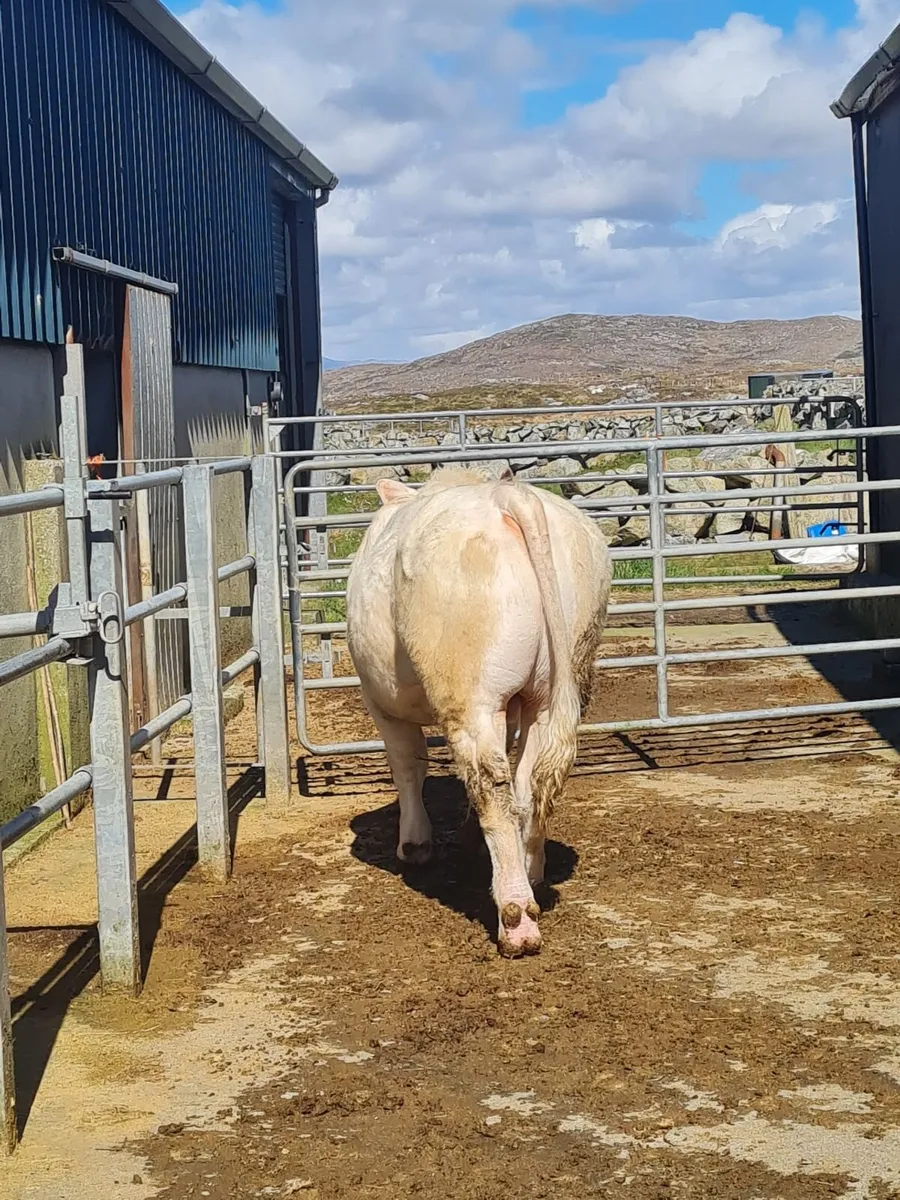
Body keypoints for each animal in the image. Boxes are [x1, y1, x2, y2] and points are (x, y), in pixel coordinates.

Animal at [346, 466, 611, 956]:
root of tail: (506, 496)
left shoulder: (380, 702)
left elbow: (407, 764)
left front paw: (414, 845)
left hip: (472, 697)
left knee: (492, 787)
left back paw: (517, 917)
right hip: (555, 685)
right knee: (529, 784)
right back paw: (530, 871)